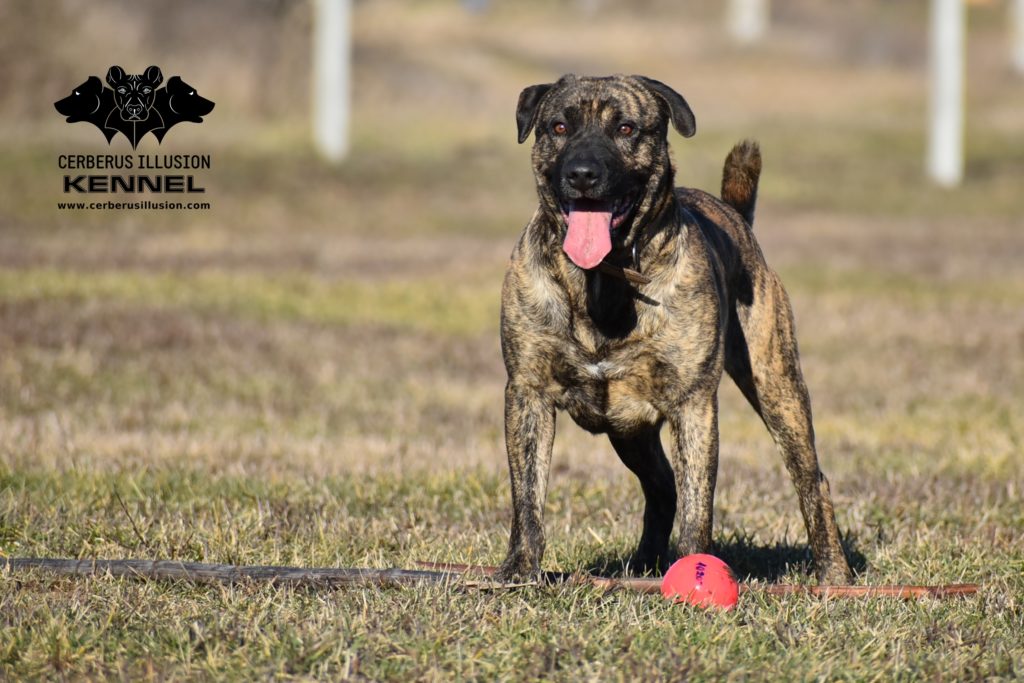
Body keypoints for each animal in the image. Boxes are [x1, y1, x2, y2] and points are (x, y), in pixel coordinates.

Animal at [495, 76, 856, 589]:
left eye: (626, 128)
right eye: (559, 126)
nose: (582, 173)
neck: (605, 278)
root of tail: (737, 215)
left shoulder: (694, 405)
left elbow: (696, 505)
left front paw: (694, 570)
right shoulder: (528, 393)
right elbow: (527, 495)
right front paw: (519, 570)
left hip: (777, 386)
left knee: (811, 480)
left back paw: (835, 574)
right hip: (628, 429)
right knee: (661, 485)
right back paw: (644, 565)